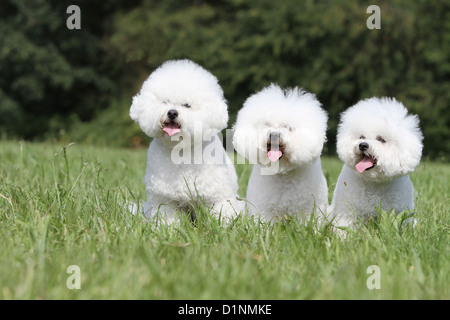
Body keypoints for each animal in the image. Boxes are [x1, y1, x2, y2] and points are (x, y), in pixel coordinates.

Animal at [128, 59, 241, 225]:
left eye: (187, 105)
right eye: (165, 102)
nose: (172, 112)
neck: (180, 151)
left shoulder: (217, 197)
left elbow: (222, 214)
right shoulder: (165, 200)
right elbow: (168, 218)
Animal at [234, 85, 328, 222]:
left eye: (287, 127)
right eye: (267, 124)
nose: (274, 134)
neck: (282, 173)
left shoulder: (308, 208)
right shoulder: (263, 208)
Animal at [330, 97, 422, 228]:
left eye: (381, 139)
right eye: (361, 137)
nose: (363, 145)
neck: (374, 182)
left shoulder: (399, 211)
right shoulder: (347, 210)